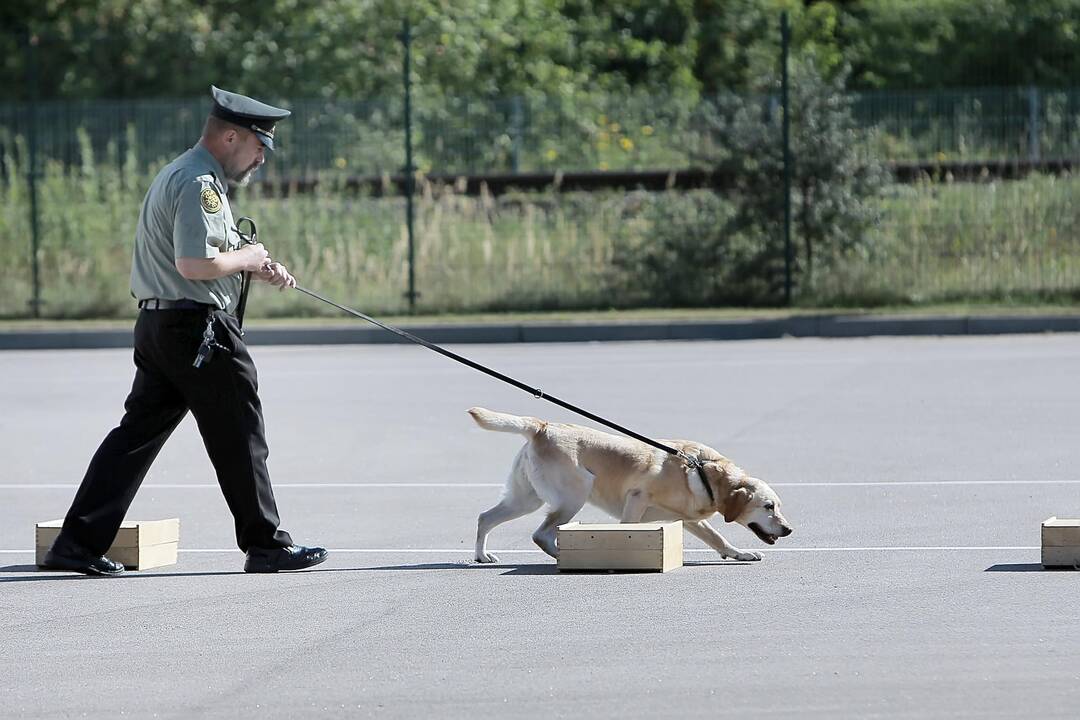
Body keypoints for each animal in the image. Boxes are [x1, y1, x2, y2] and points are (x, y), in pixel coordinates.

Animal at [470, 405, 794, 561]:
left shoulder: (690, 519)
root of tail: (542, 427)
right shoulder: (637, 499)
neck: (703, 472)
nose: (789, 529)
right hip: (573, 495)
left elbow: (717, 538)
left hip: (525, 499)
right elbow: (627, 530)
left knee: (485, 518)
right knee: (540, 534)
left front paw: (739, 554)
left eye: (778, 506)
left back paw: (482, 556)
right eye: (768, 506)